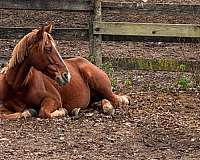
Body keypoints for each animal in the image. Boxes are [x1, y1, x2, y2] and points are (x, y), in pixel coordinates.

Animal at [0, 26, 130, 120]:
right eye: (48, 48)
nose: (66, 75)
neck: (18, 87)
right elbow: (4, 115)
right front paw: (28, 112)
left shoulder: (54, 99)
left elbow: (44, 112)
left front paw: (62, 111)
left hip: (101, 86)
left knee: (115, 100)